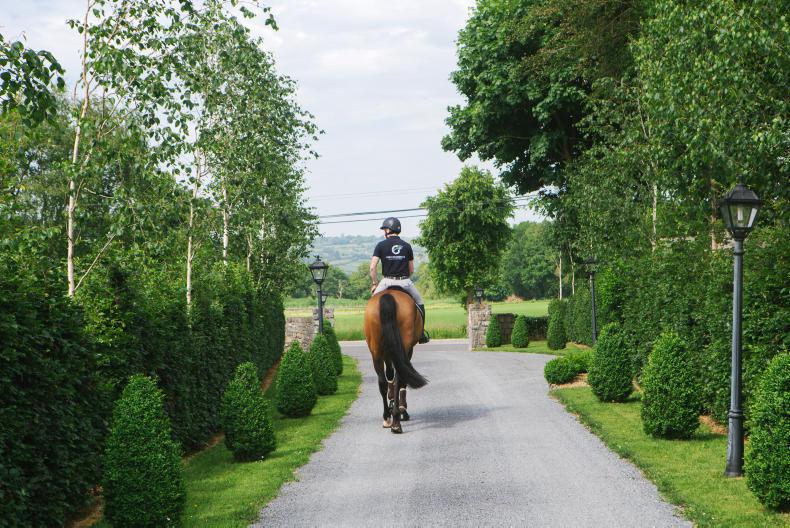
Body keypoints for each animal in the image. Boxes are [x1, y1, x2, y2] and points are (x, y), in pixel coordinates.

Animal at [363, 287, 428, 434]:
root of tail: (388, 295)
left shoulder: (387, 353)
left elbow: (389, 375)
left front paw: (392, 402)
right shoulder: (407, 351)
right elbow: (399, 378)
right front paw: (401, 408)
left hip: (376, 352)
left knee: (382, 381)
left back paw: (388, 418)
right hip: (403, 347)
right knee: (399, 377)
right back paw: (397, 420)